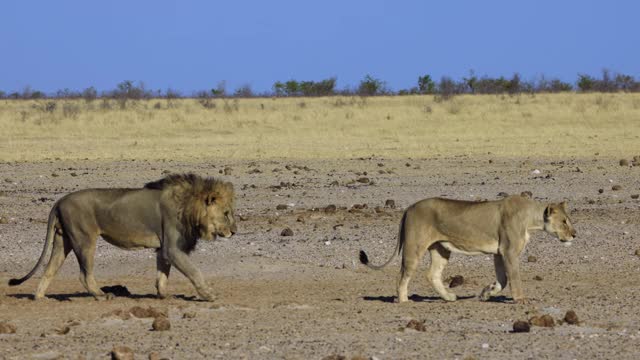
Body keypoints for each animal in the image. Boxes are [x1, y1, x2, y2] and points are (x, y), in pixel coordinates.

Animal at [8, 174, 238, 300]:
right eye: (226, 213)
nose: (235, 231)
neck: (189, 207)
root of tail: (59, 201)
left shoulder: (163, 249)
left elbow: (162, 276)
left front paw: (164, 295)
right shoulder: (173, 248)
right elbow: (194, 272)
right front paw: (209, 295)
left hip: (62, 240)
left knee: (49, 269)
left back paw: (40, 297)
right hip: (84, 239)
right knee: (84, 275)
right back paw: (101, 295)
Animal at [362, 197, 576, 304]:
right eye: (564, 221)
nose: (575, 234)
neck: (531, 219)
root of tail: (409, 207)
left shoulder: (498, 253)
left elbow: (502, 280)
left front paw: (486, 293)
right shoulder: (509, 251)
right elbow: (514, 277)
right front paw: (521, 299)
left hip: (441, 248)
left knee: (432, 274)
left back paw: (449, 297)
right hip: (414, 246)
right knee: (402, 276)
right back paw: (404, 301)